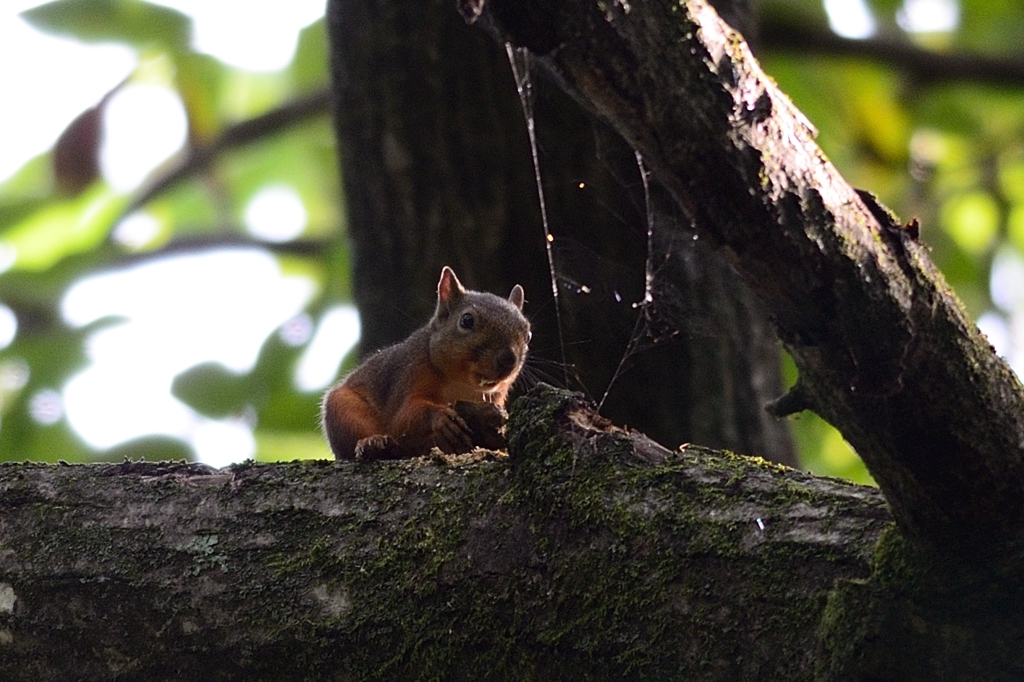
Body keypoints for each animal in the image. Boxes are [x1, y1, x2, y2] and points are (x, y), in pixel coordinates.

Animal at [317, 264, 528, 456]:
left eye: (528, 335)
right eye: (467, 320)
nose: (508, 359)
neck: (461, 385)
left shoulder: (496, 398)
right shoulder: (409, 374)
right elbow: (401, 418)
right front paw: (440, 417)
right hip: (342, 408)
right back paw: (373, 444)